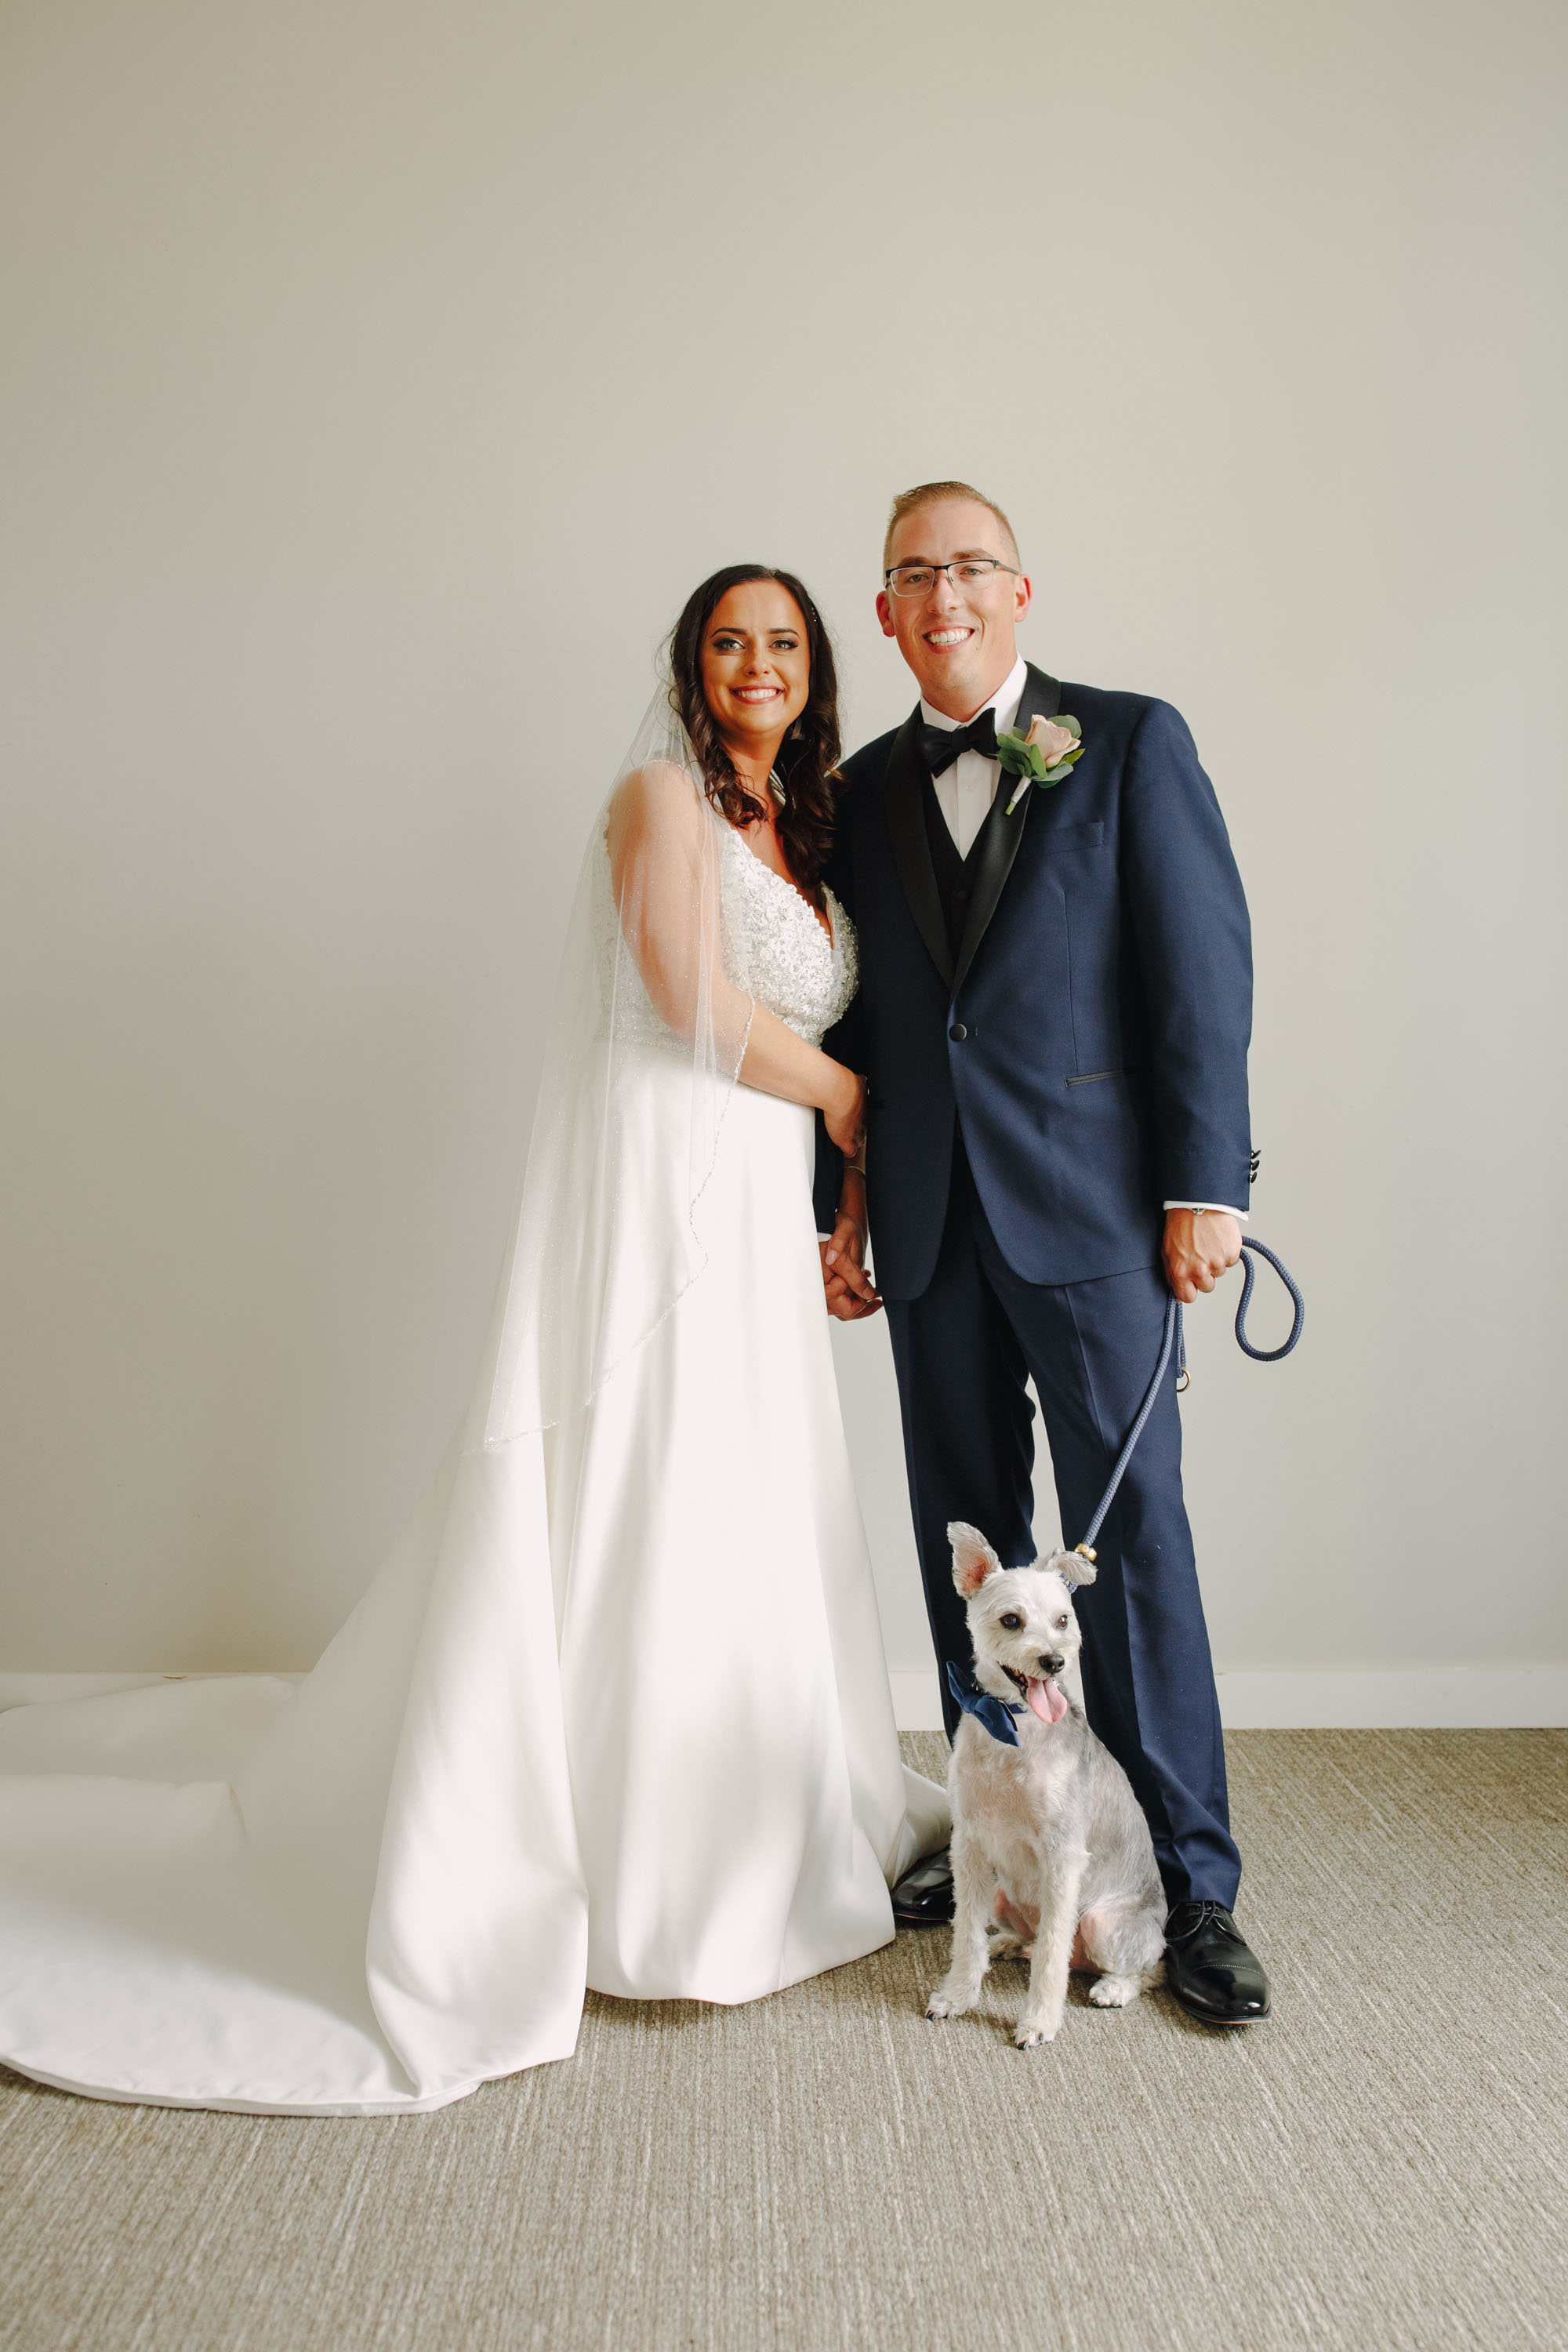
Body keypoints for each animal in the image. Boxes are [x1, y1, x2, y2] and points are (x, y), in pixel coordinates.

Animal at [925, 1522, 1167, 2049]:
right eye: (1011, 1620)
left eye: (1062, 1620)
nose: (1053, 1661)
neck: (1013, 1730)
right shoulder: (969, 1846)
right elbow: (965, 1935)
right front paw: (956, 1995)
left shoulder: (1062, 1855)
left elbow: (1054, 1954)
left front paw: (1038, 2022)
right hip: (1001, 1894)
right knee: (1031, 1940)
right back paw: (1007, 1944)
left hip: (1102, 1922)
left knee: (1146, 1968)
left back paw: (1113, 1988)